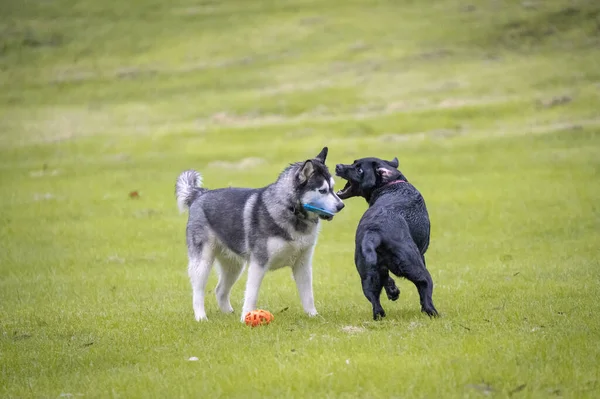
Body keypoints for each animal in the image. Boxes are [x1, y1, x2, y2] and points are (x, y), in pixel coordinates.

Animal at [175, 147, 342, 322]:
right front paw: (245, 318)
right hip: (203, 262)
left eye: (332, 188)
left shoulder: (302, 264)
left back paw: (228, 313)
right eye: (322, 191)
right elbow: (251, 294)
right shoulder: (258, 263)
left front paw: (313, 316)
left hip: (234, 266)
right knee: (197, 291)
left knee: (220, 290)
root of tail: (200, 193)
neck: (290, 210)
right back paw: (201, 317)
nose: (341, 205)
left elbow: (308, 295)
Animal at [336, 158, 438, 320]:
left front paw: (393, 291)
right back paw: (433, 313)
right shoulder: (421, 256)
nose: (338, 166)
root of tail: (374, 231)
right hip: (416, 266)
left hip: (366, 274)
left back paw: (380, 314)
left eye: (359, 169)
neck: (391, 184)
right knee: (424, 290)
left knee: (375, 301)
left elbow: (386, 279)